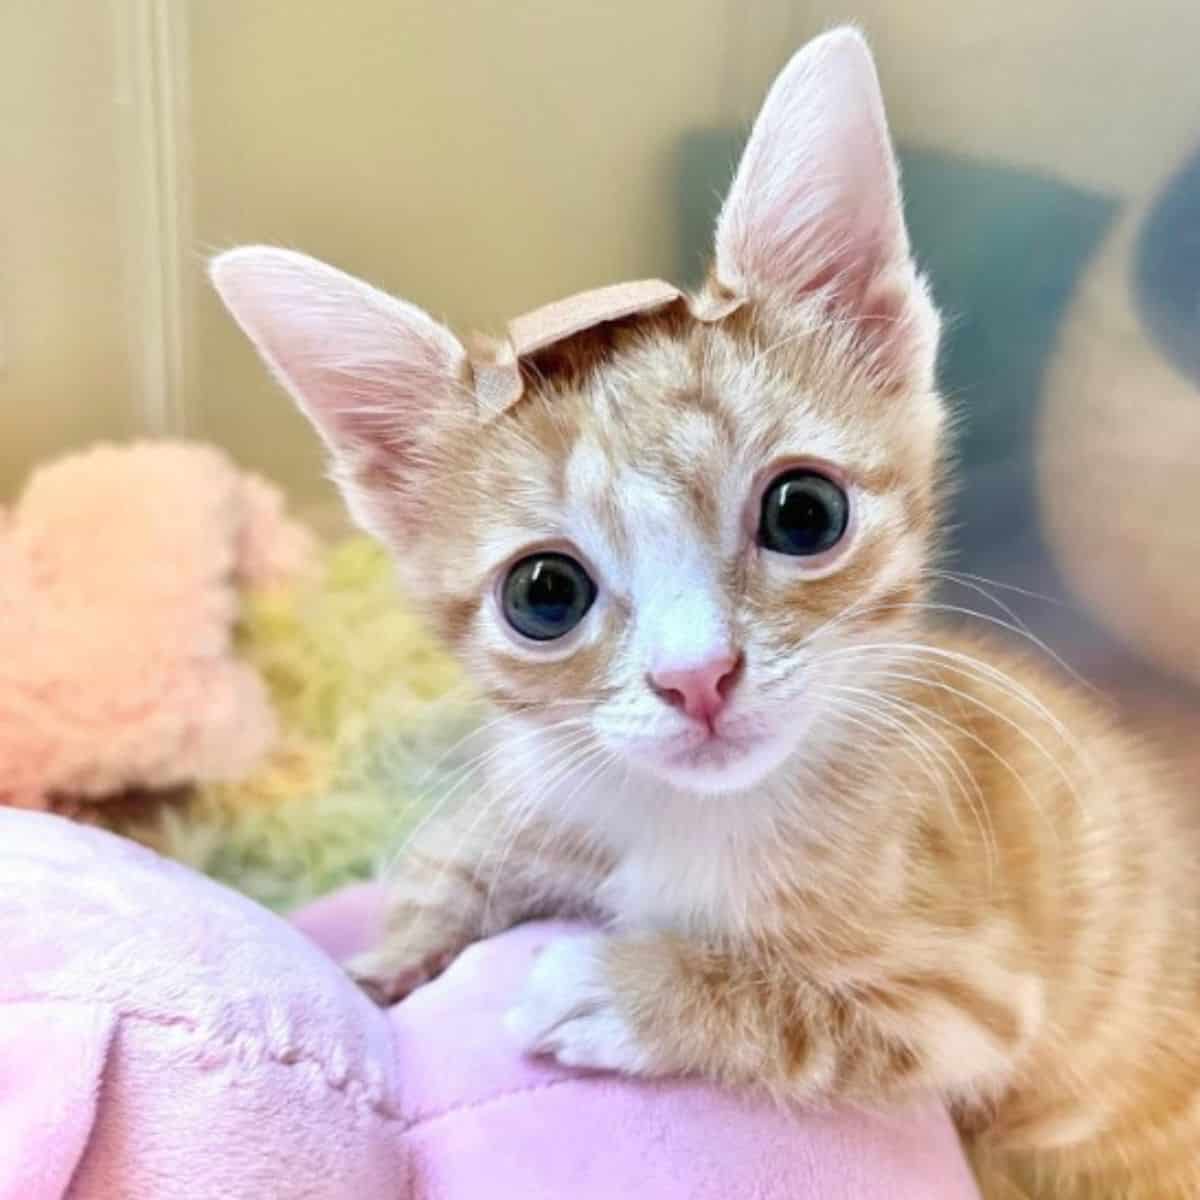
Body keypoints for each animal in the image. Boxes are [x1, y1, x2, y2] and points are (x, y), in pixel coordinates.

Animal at [211, 28, 1195, 1200]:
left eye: (805, 512)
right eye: (544, 593)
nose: (697, 678)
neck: (683, 822)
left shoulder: (972, 998)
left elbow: (821, 1009)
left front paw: (625, 989)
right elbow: (445, 870)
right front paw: (385, 966)